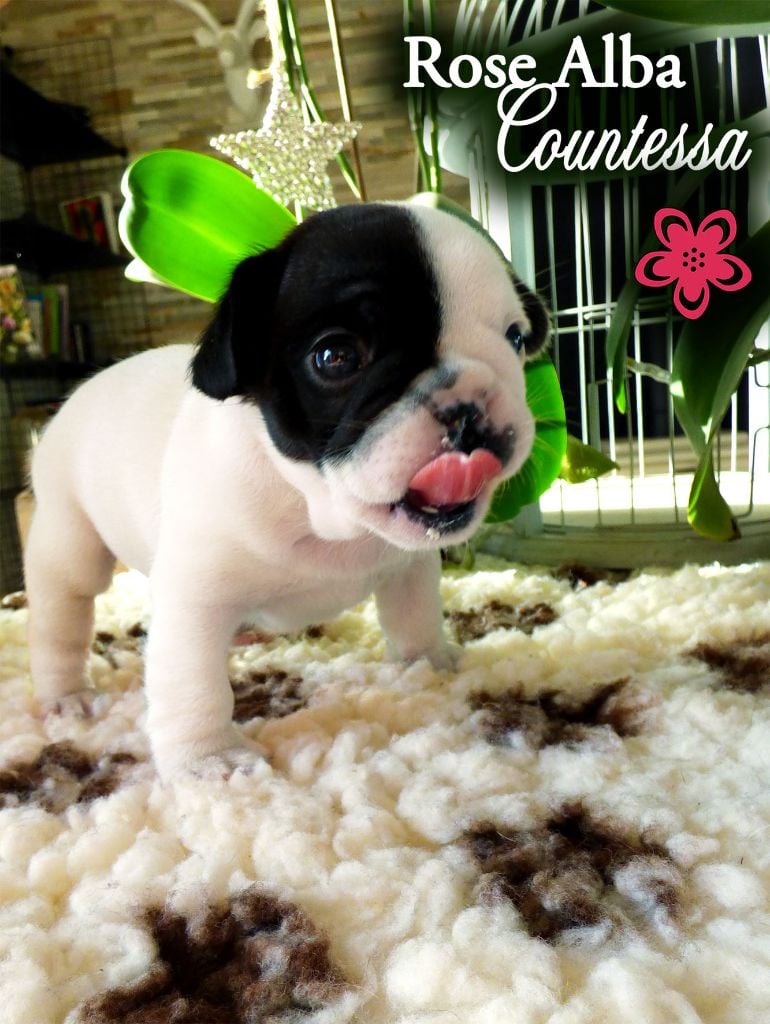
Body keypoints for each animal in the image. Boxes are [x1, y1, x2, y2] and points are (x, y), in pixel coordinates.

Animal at [24, 202, 548, 779]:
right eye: (335, 356)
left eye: (515, 339)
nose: (468, 405)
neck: (318, 509)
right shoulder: (194, 598)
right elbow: (192, 682)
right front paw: (210, 758)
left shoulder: (408, 565)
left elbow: (414, 614)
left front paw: (427, 662)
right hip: (69, 539)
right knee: (62, 614)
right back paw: (66, 696)